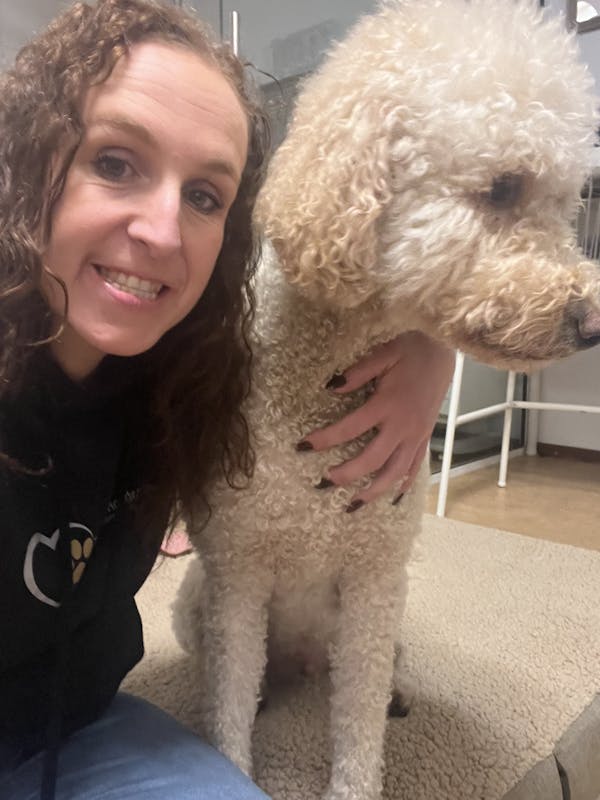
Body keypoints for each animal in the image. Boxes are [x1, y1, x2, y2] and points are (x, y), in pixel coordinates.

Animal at [175, 2, 600, 798]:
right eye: (503, 187)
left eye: (571, 201)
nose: (591, 321)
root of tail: (303, 661)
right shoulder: (239, 576)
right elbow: (230, 701)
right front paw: (230, 755)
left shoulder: (373, 582)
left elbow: (359, 723)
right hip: (196, 606)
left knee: (368, 677)